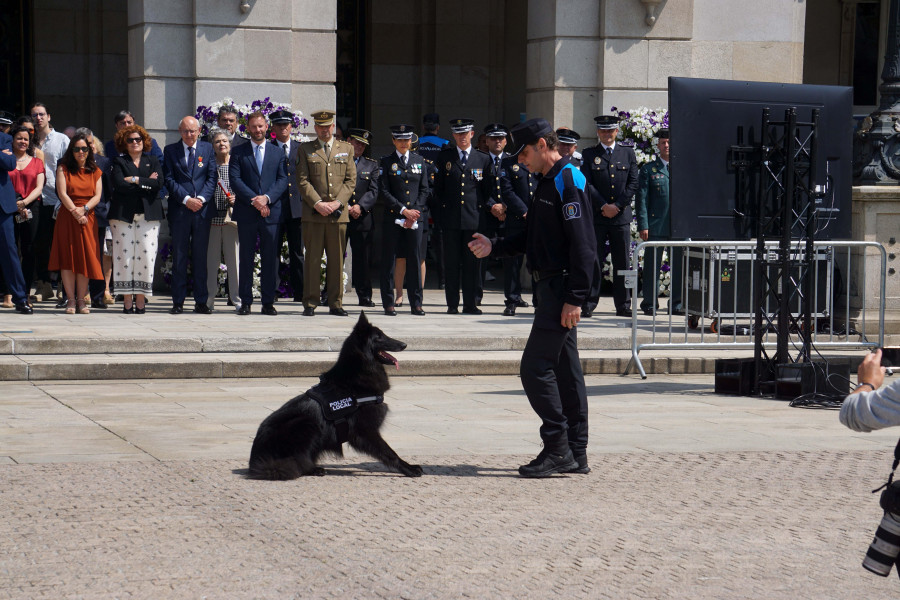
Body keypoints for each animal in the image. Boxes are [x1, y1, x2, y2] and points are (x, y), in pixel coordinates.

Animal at [246, 312, 426, 480]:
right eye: (379, 337)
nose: (404, 344)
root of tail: (255, 461)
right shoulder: (364, 432)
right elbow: (389, 452)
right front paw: (408, 469)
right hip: (307, 424)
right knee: (299, 460)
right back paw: (313, 469)